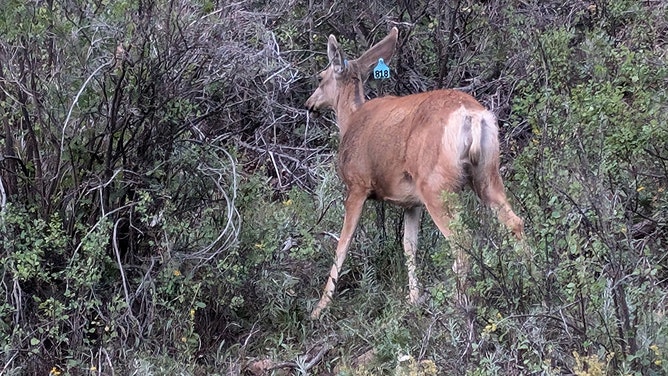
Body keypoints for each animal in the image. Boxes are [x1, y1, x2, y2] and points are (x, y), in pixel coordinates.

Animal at [306, 27, 524, 318]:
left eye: (320, 77)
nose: (310, 103)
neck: (350, 119)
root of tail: (472, 117)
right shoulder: (410, 202)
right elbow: (410, 246)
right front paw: (413, 299)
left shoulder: (357, 185)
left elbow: (343, 243)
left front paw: (319, 308)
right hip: (487, 174)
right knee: (514, 222)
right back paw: (532, 277)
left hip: (436, 186)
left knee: (462, 239)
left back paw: (460, 304)